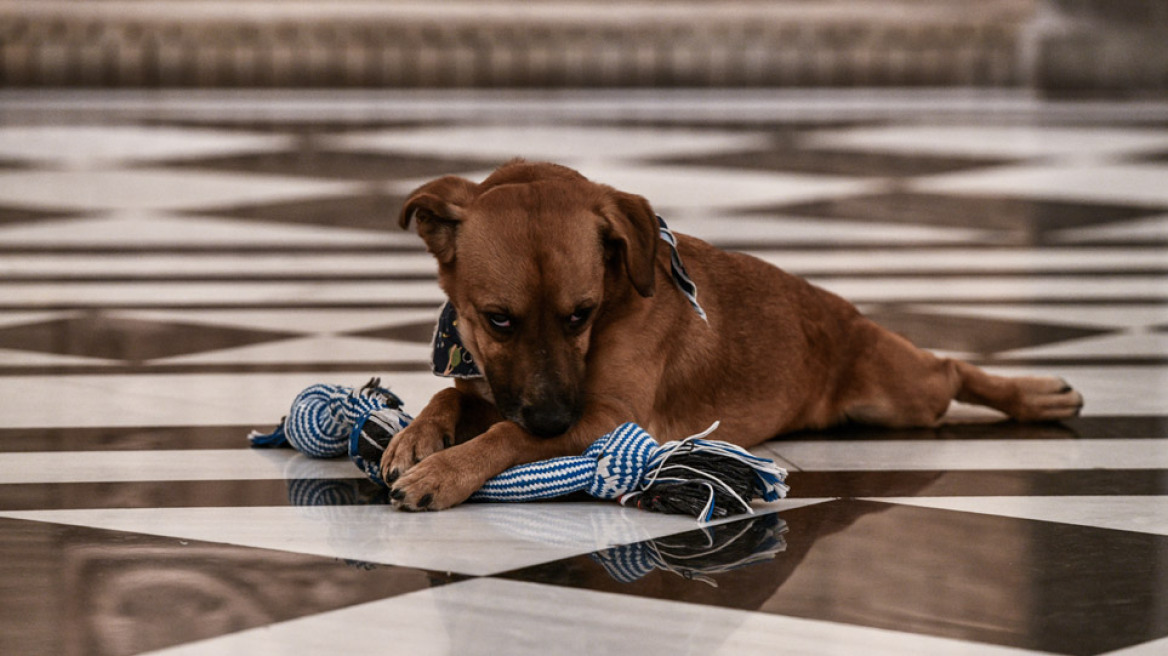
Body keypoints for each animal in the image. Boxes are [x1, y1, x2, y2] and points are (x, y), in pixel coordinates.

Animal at [383, 161, 1083, 508]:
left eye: (581, 314)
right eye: (498, 319)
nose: (556, 420)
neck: (617, 298)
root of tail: (849, 314)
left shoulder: (611, 417)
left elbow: (508, 433)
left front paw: (447, 471)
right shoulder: (504, 387)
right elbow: (451, 396)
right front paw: (419, 439)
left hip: (901, 396)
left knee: (950, 369)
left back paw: (1034, 394)